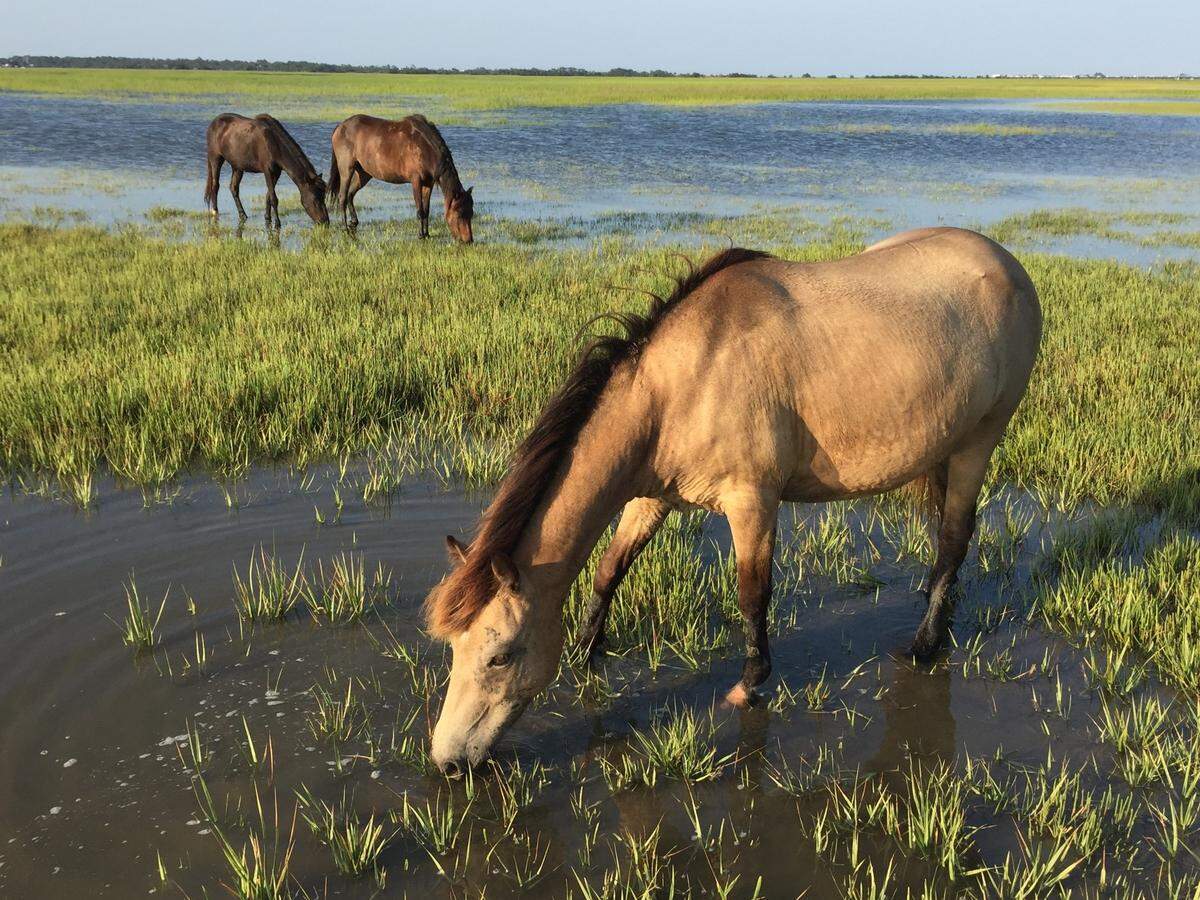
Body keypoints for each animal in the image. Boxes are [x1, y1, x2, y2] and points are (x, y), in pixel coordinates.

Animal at [328, 114, 474, 242]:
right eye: (459, 214)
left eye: (471, 213)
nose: (469, 240)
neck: (425, 147)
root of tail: (340, 126)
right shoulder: (416, 181)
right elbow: (420, 210)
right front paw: (420, 235)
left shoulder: (428, 183)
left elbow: (426, 210)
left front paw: (427, 234)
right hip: (346, 170)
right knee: (342, 197)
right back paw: (345, 228)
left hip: (364, 174)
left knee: (350, 195)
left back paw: (354, 222)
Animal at [424, 227, 1042, 774]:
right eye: (453, 649)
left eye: (500, 655)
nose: (447, 761)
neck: (683, 385)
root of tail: (1006, 263)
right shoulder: (651, 498)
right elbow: (610, 570)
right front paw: (586, 652)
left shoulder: (753, 502)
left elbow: (752, 594)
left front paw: (749, 683)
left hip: (977, 443)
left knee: (954, 538)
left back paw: (925, 643)